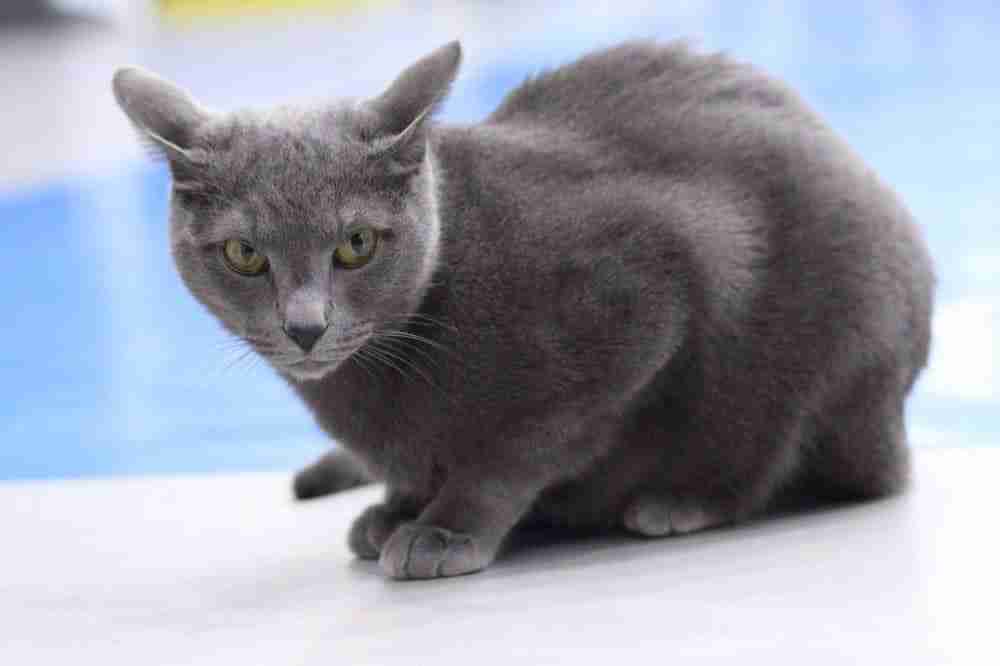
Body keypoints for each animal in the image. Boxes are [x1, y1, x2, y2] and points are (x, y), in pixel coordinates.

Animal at [113, 41, 932, 580]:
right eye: (245, 255)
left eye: (355, 244)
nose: (305, 325)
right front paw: (398, 508)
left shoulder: (643, 297)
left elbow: (515, 452)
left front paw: (444, 528)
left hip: (819, 346)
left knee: (780, 454)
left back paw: (679, 500)